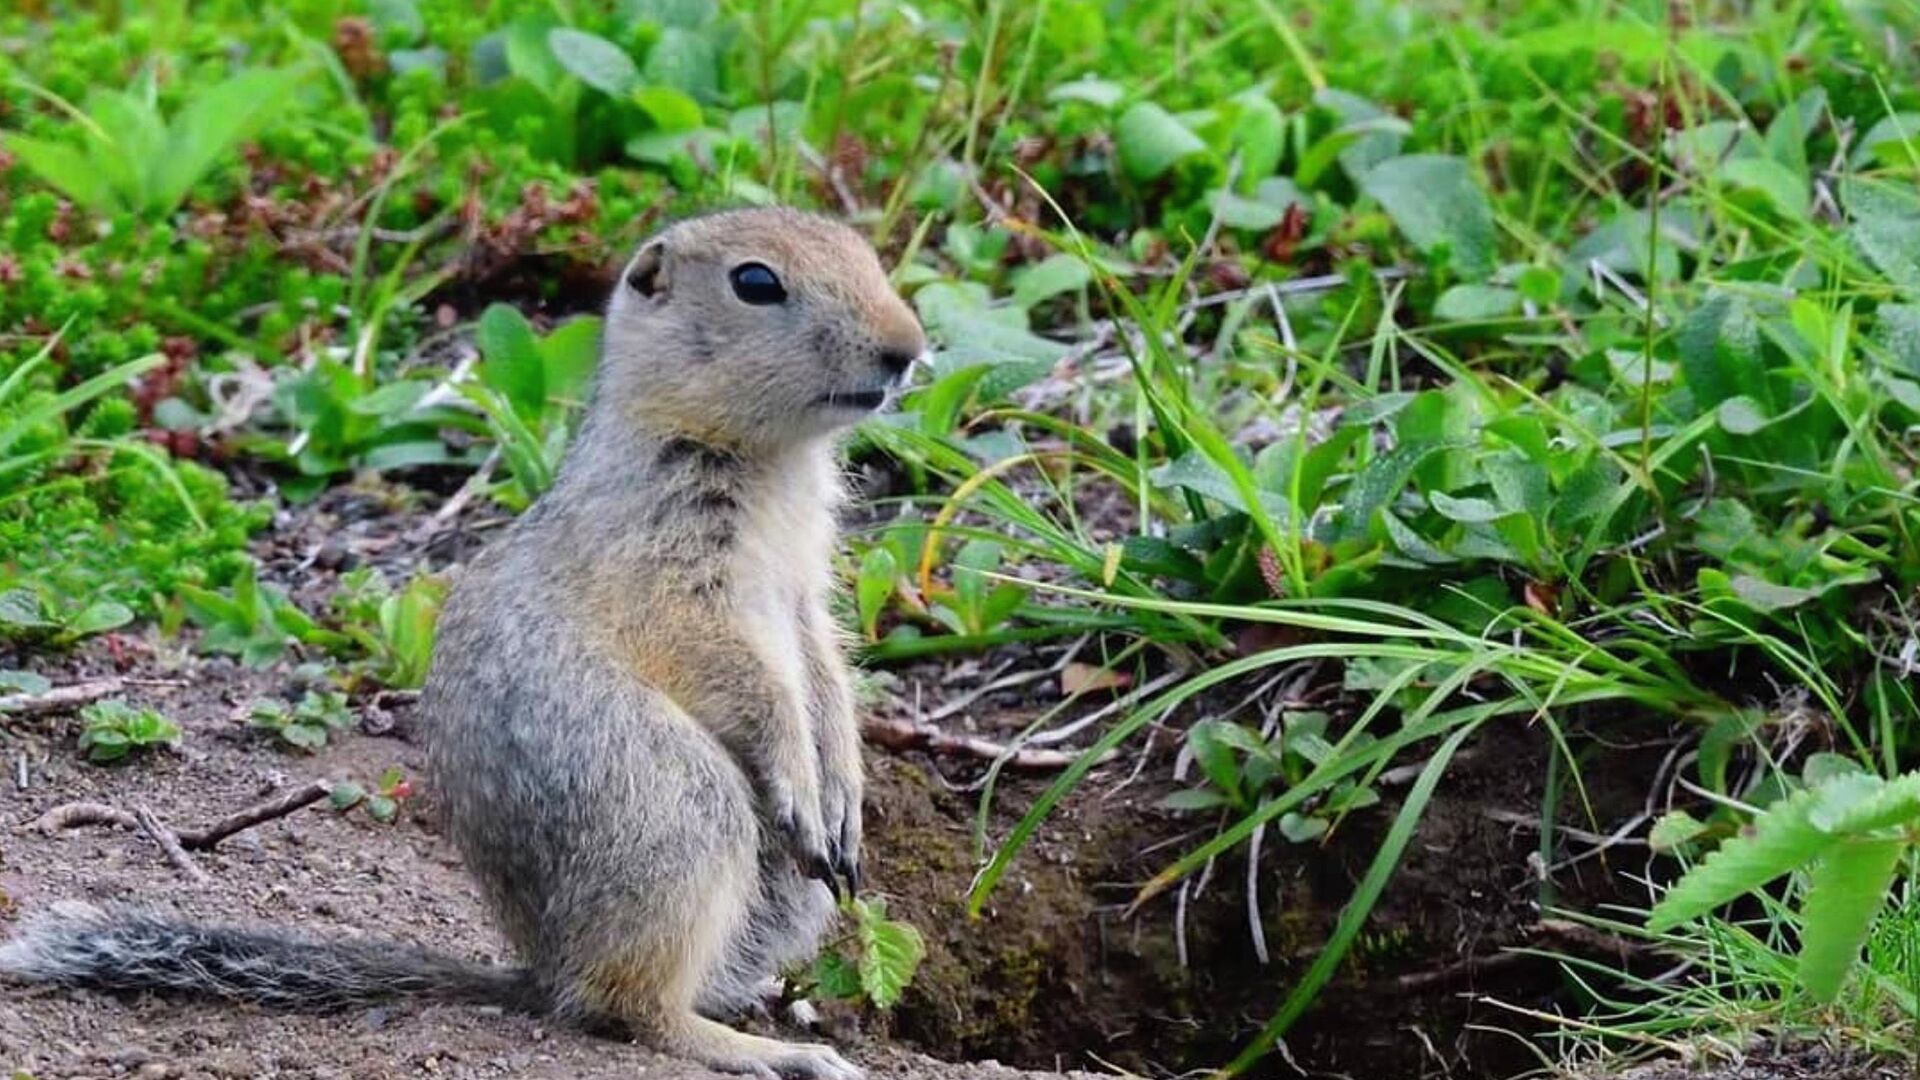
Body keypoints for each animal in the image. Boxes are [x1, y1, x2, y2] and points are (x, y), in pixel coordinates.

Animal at [0, 208, 929, 1076]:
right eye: (756, 282)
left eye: (864, 250)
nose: (908, 349)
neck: (770, 458)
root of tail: (539, 966)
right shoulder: (671, 578)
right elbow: (746, 676)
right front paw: (803, 780)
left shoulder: (804, 585)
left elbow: (825, 669)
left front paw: (843, 791)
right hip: (676, 811)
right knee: (622, 1006)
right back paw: (763, 1048)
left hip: (785, 891)